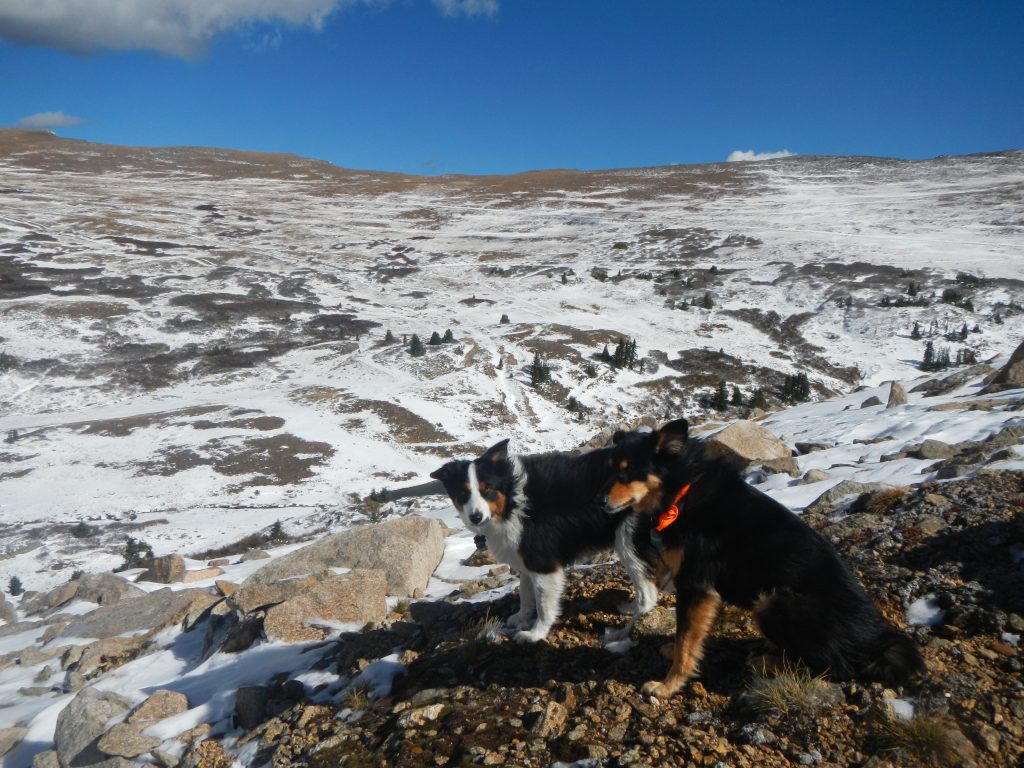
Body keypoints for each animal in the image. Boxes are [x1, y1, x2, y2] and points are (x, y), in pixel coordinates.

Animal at [430, 438, 655, 643]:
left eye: (487, 490)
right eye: (463, 493)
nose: (475, 517)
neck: (513, 502)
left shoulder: (543, 564)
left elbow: (544, 605)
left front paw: (535, 633)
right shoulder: (525, 559)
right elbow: (525, 592)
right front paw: (522, 617)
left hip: (629, 544)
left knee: (649, 597)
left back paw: (624, 633)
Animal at [602, 417, 925, 700]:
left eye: (629, 472)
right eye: (612, 471)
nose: (601, 502)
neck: (682, 490)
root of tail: (875, 643)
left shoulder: (696, 584)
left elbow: (685, 641)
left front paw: (667, 686)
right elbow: (689, 636)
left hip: (774, 601)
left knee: (835, 667)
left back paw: (768, 663)